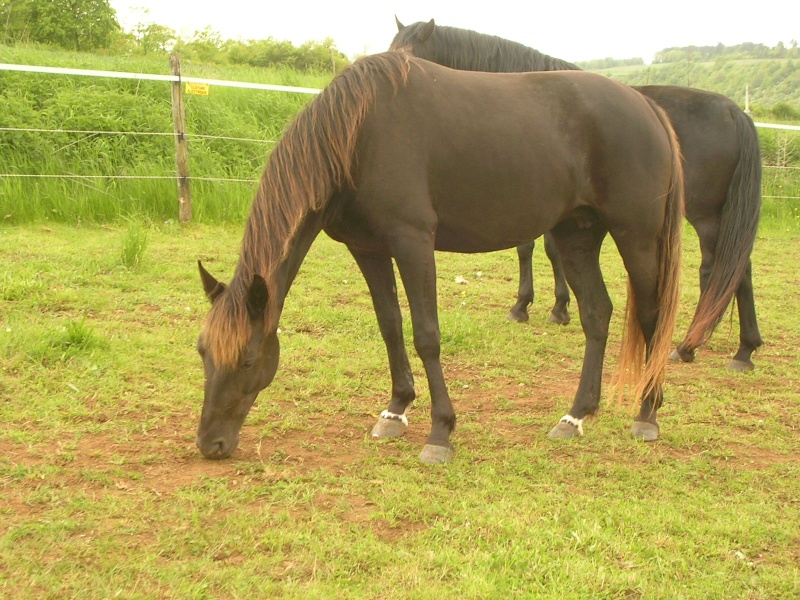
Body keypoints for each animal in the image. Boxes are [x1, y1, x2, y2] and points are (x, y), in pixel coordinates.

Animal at [195, 51, 688, 464]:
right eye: (202, 352)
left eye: (247, 360)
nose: (210, 444)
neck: (358, 136)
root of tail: (648, 106)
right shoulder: (368, 249)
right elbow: (390, 326)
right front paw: (395, 411)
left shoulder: (413, 242)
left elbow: (426, 335)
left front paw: (440, 432)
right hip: (576, 235)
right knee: (596, 314)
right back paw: (577, 415)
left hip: (637, 237)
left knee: (651, 314)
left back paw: (647, 412)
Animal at [390, 17, 764, 370]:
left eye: (410, 54)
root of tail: (735, 112)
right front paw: (554, 306)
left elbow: (535, 248)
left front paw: (534, 306)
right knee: (736, 269)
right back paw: (738, 348)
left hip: (704, 216)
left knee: (723, 270)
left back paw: (696, 346)